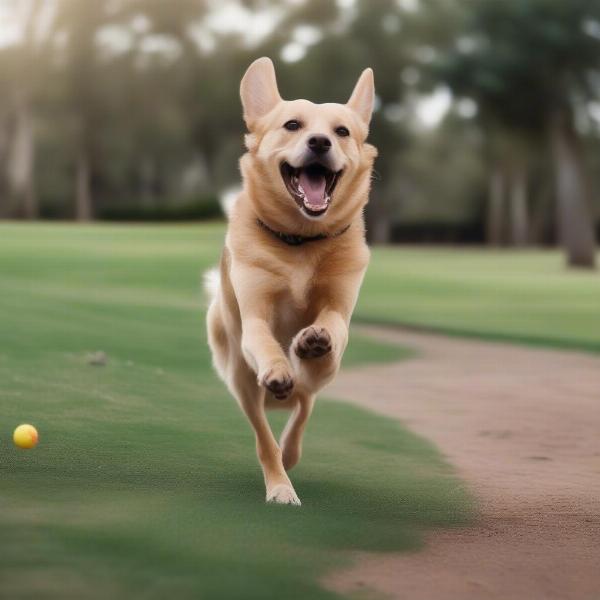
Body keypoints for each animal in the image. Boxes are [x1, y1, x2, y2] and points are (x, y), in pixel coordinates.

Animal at [206, 57, 376, 506]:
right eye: (293, 125)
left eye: (342, 131)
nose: (319, 142)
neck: (301, 242)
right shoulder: (254, 317)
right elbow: (266, 341)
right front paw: (279, 366)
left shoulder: (339, 305)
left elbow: (332, 324)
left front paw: (314, 340)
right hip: (240, 377)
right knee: (264, 434)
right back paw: (280, 484)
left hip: (314, 382)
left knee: (304, 405)